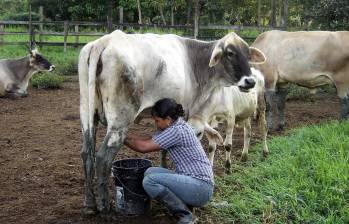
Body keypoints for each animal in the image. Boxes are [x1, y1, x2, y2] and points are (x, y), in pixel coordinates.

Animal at [78, 29, 264, 214]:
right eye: (230, 53)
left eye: (248, 54)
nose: (250, 81)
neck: (196, 63)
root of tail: (105, 41)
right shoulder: (187, 114)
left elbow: (163, 149)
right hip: (119, 121)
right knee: (102, 158)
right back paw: (104, 206)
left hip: (87, 115)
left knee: (87, 154)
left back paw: (89, 203)